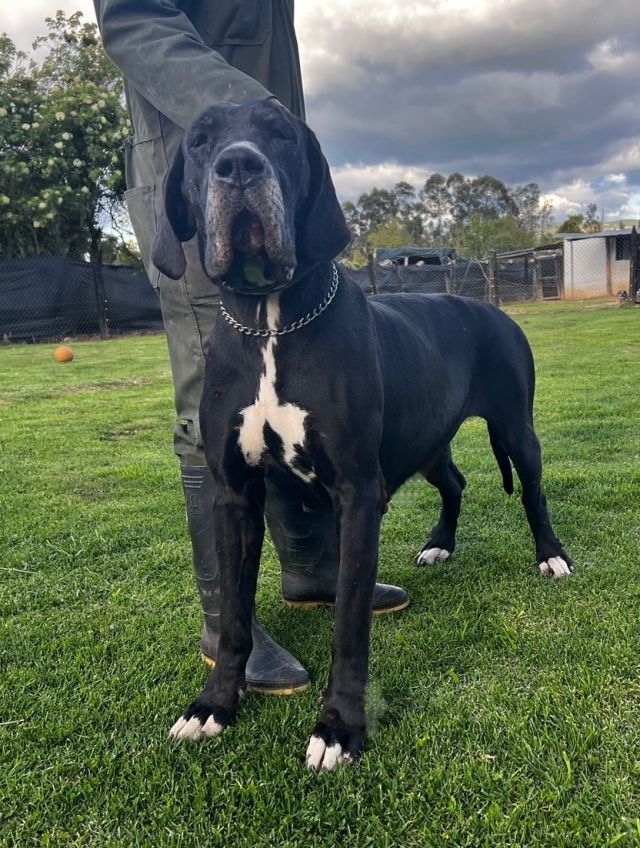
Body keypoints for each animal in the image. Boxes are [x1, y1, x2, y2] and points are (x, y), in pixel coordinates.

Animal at [151, 99, 572, 772]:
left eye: (281, 133)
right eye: (199, 140)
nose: (238, 165)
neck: (273, 320)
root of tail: (495, 308)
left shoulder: (357, 493)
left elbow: (348, 621)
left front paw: (339, 727)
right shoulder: (234, 496)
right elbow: (237, 616)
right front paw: (214, 705)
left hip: (516, 428)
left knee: (532, 491)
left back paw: (551, 555)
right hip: (427, 440)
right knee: (455, 480)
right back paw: (440, 545)